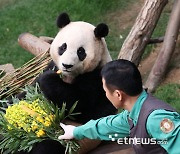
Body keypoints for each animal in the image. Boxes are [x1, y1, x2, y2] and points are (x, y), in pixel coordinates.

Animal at [27, 12, 116, 153]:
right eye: (63, 47)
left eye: (81, 51)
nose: (66, 65)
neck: (68, 76)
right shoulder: (52, 66)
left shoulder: (97, 78)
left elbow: (80, 104)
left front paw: (48, 79)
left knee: (48, 146)